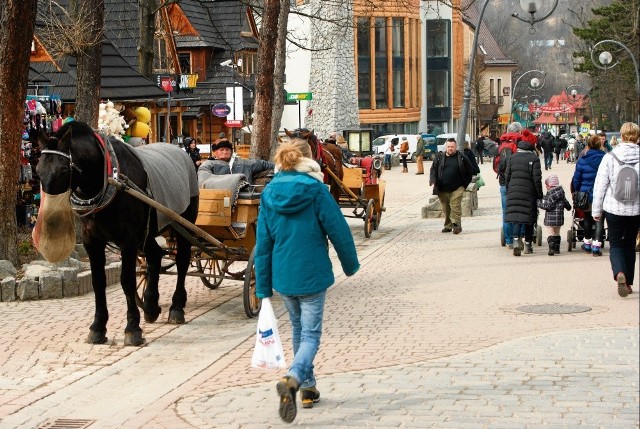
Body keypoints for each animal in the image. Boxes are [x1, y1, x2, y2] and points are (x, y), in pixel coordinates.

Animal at [36, 120, 199, 344]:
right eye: (38, 170)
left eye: (62, 169)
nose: (48, 218)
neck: (107, 179)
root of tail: (182, 152)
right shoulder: (91, 241)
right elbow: (98, 281)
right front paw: (98, 327)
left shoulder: (128, 239)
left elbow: (127, 281)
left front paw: (132, 328)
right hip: (148, 230)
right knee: (155, 256)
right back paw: (150, 306)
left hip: (185, 222)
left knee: (182, 260)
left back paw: (176, 307)